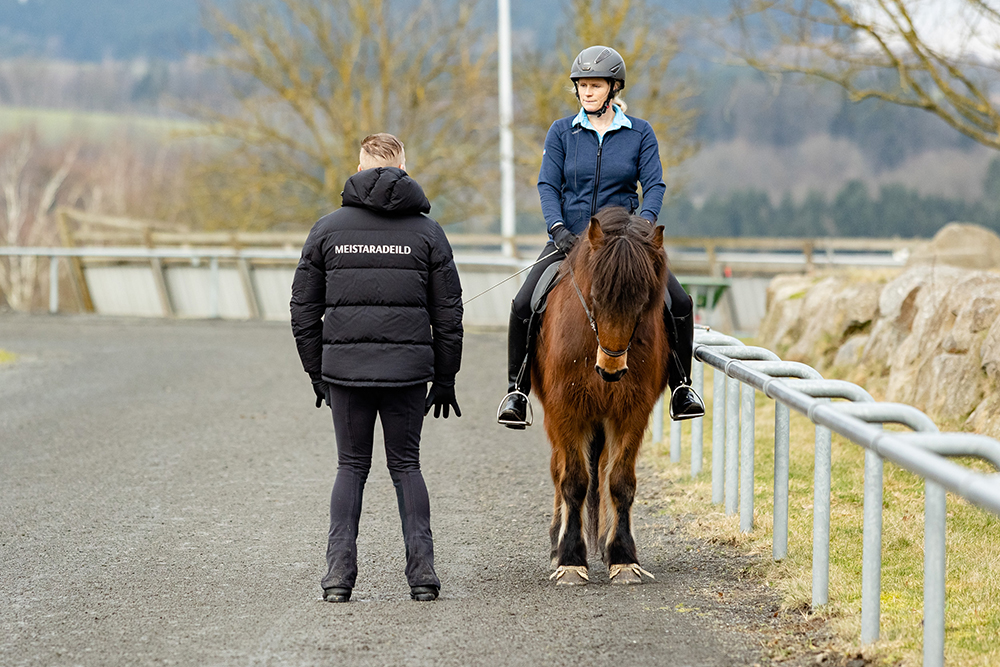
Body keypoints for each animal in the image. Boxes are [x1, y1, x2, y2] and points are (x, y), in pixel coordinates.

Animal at [536, 207, 668, 584]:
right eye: (594, 296)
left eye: (643, 302)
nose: (610, 371)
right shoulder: (566, 411)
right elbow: (574, 481)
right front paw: (570, 559)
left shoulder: (631, 412)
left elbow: (620, 482)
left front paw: (623, 557)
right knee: (558, 470)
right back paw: (557, 541)